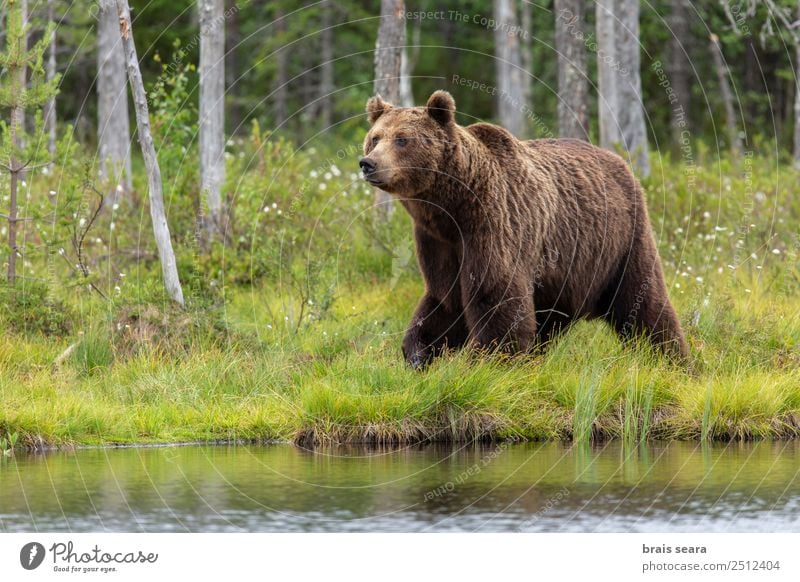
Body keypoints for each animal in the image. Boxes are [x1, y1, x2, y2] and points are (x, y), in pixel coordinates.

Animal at [360, 90, 688, 370]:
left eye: (402, 139)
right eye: (375, 138)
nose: (368, 163)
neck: (452, 206)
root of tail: (619, 160)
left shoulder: (493, 225)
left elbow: (495, 295)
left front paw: (485, 360)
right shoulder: (438, 240)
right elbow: (446, 299)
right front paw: (418, 353)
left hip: (621, 241)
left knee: (642, 302)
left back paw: (672, 359)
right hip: (563, 273)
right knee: (549, 320)